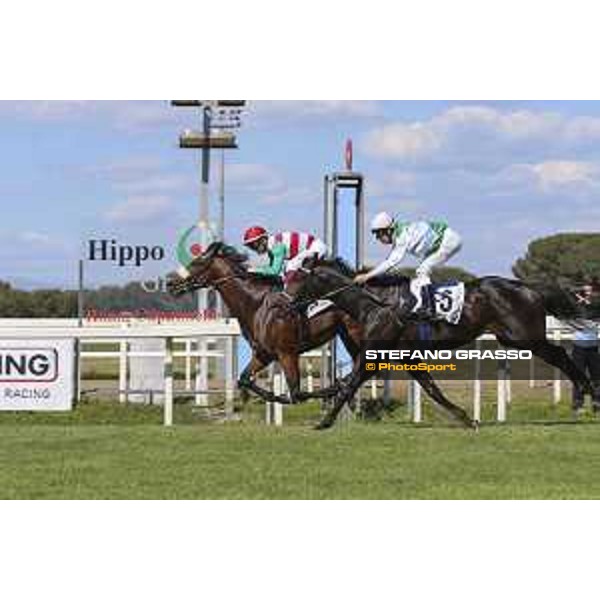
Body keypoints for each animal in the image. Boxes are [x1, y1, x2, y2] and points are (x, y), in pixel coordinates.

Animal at [166, 241, 360, 406]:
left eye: (197, 263)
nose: (170, 282)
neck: (256, 304)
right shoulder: (264, 353)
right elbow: (244, 379)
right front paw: (273, 396)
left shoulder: (287, 353)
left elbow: (297, 393)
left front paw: (335, 388)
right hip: (347, 335)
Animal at [288, 260, 592, 428]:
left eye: (299, 281)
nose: (288, 302)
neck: (375, 303)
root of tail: (528, 288)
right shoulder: (404, 356)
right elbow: (430, 387)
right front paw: (467, 418)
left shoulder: (374, 352)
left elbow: (349, 382)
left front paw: (323, 420)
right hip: (512, 337)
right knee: (560, 355)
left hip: (524, 337)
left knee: (561, 355)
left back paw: (588, 389)